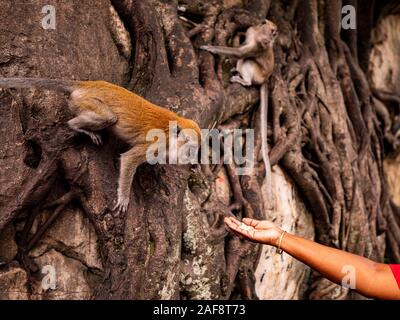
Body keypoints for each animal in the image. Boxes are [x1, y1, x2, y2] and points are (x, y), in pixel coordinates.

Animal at [0, 77, 200, 212]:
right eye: (190, 147)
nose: (192, 161)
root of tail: (87, 84)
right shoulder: (158, 142)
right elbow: (129, 158)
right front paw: (123, 197)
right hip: (87, 101)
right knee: (109, 117)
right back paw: (77, 126)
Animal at [202, 20, 276, 210]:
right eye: (273, 32)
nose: (271, 40)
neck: (258, 37)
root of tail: (266, 79)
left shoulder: (257, 48)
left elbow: (241, 53)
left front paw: (209, 48)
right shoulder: (251, 33)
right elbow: (241, 48)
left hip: (257, 74)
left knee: (247, 60)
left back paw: (244, 80)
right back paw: (236, 71)